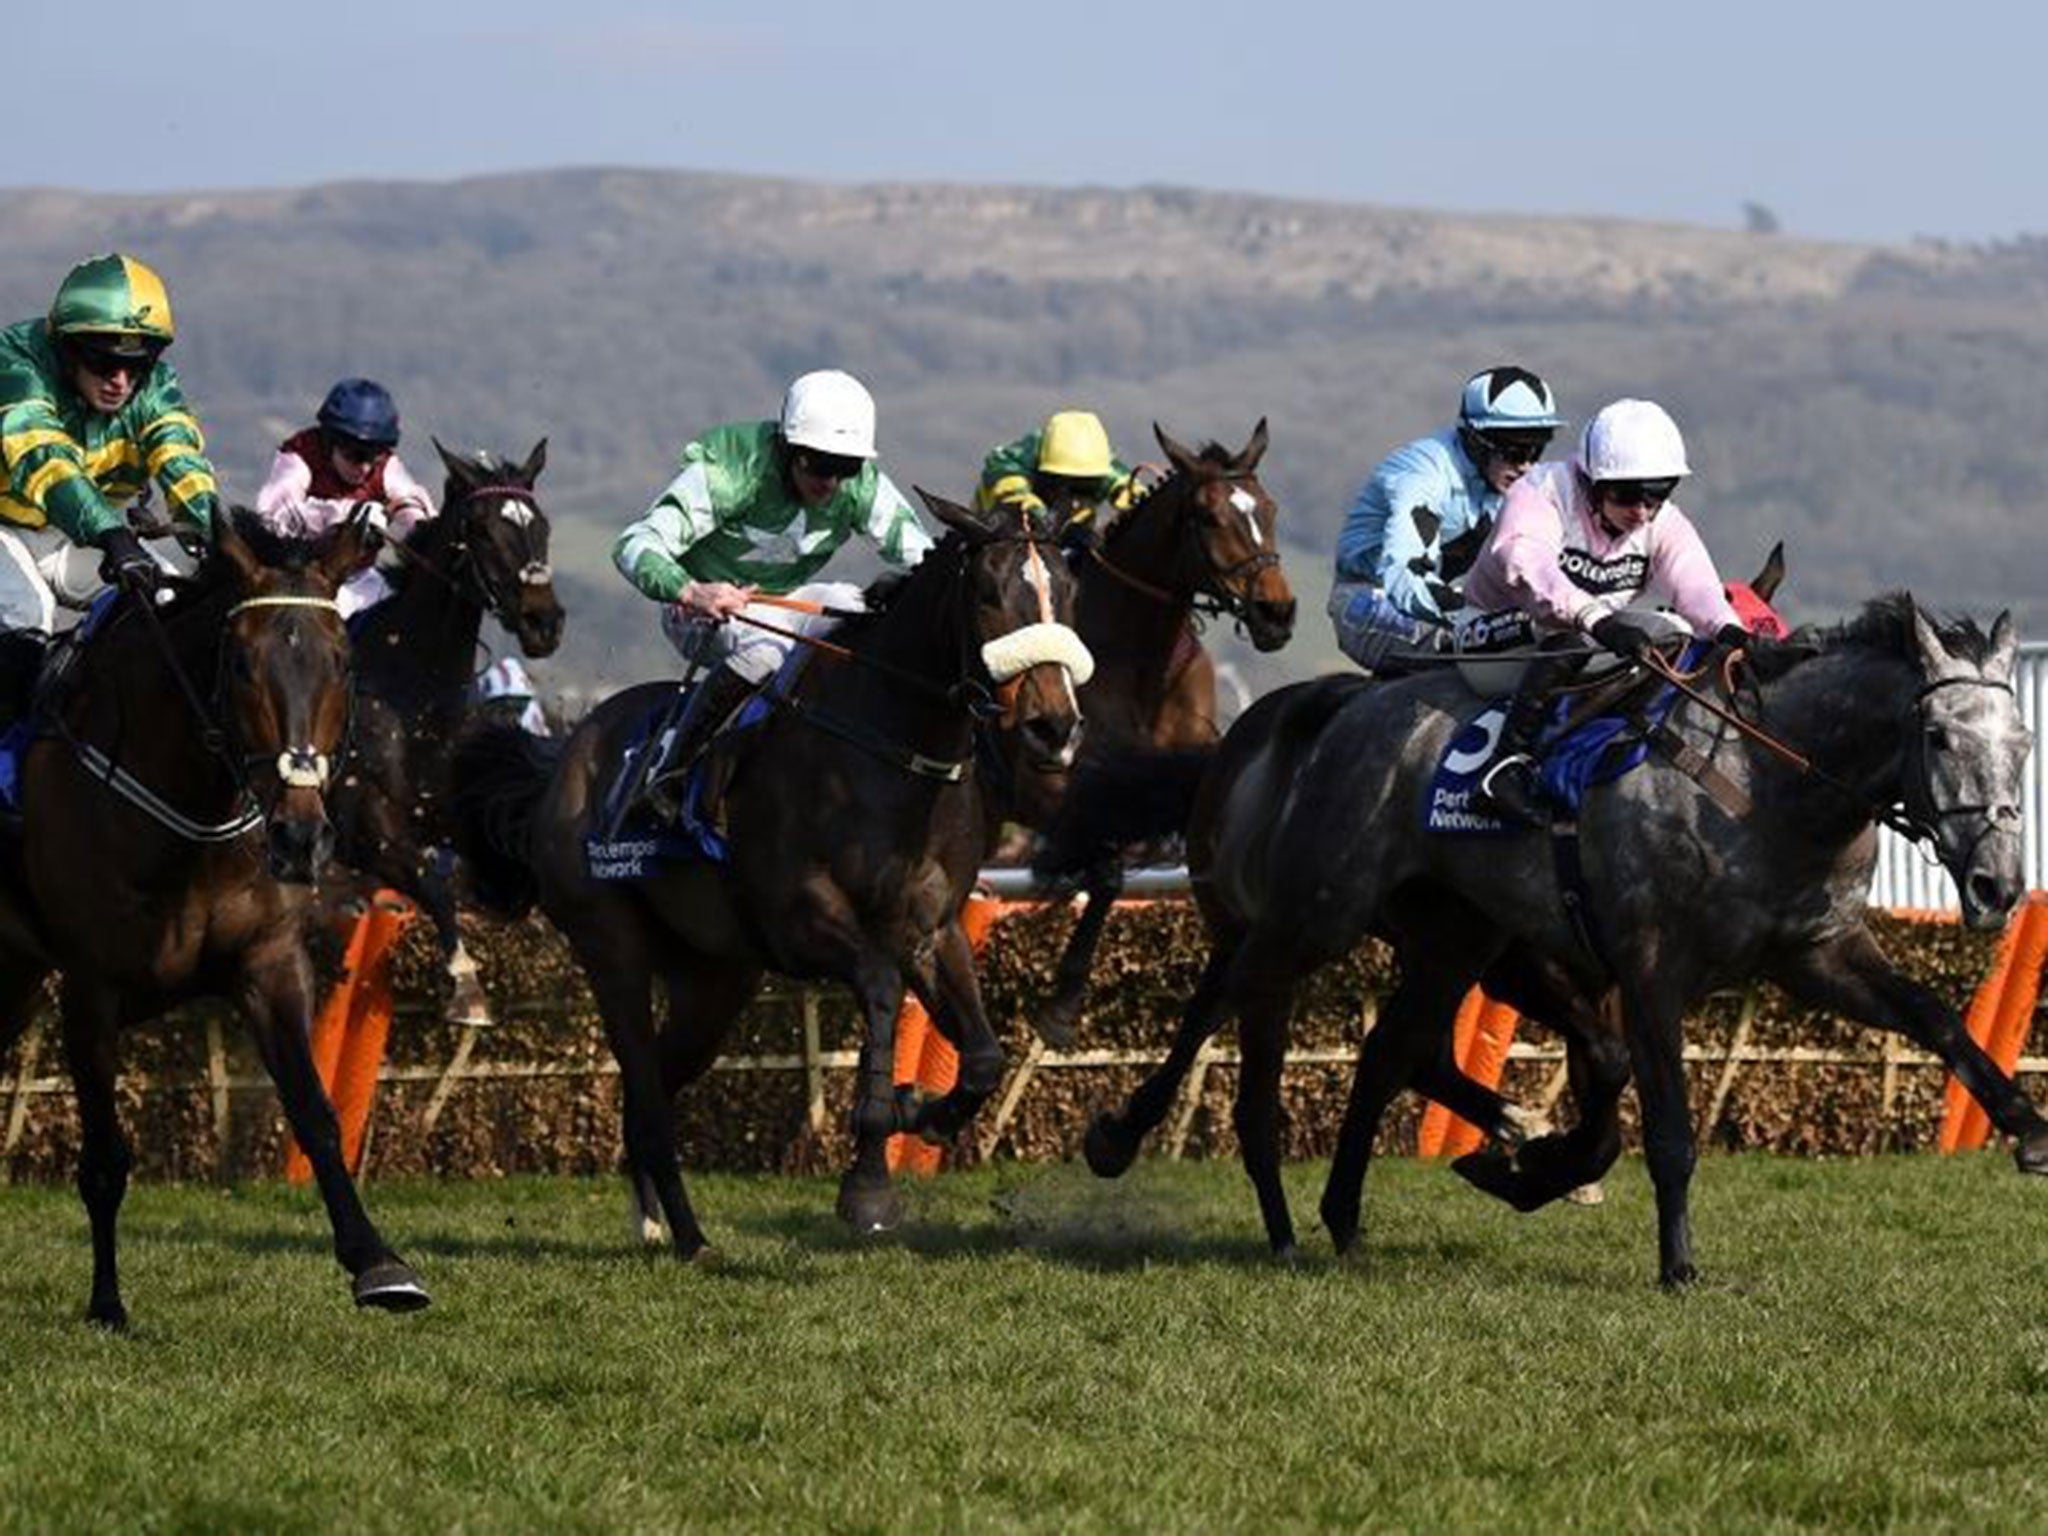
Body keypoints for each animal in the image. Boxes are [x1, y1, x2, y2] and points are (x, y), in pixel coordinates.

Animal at [0, 514, 423, 1327]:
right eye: (241, 665)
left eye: (342, 662)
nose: (300, 836)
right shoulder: (91, 989)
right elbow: (105, 1160)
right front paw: (107, 1304)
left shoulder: (269, 963)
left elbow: (315, 1113)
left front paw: (379, 1264)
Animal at [448, 495, 1089, 1261]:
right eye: (989, 595)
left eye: (1068, 592)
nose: (1053, 727)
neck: (893, 750)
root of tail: (562, 758)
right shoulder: (802, 917)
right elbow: (880, 988)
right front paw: (869, 1179)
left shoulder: (932, 928)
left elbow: (987, 1056)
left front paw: (921, 1111)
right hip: (611, 948)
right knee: (647, 1093)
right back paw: (690, 1238)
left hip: (714, 980)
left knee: (651, 1093)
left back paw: (658, 1222)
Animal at [1019, 421, 1294, 1048]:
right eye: (1209, 517)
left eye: (1269, 508)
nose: (1278, 612)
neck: (1137, 659)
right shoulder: (1067, 785)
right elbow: (1106, 872)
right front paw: (1062, 1005)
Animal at [1097, 593, 2039, 1277]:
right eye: (1937, 735)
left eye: (2023, 741)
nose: (1996, 883)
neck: (1768, 785)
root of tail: (1351, 708)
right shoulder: (1650, 967)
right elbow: (1666, 1127)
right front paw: (1676, 1263)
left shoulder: (1818, 954)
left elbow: (1935, 1018)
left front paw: (2026, 1126)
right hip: (1315, 910)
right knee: (1234, 995)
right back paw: (1156, 1150)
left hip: (1452, 939)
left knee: (1384, 1048)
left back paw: (1342, 1217)